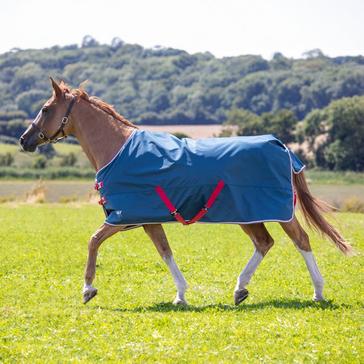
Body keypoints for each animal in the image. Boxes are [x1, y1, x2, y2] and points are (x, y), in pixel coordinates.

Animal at [18, 78, 352, 306]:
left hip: (277, 212)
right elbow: (165, 252)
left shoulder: (123, 216)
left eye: (46, 109)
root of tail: (280, 145)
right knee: (264, 242)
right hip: (248, 214)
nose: (24, 140)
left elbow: (93, 240)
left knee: (301, 240)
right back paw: (240, 289)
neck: (118, 150)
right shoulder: (147, 220)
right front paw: (180, 294)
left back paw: (318, 291)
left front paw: (88, 289)